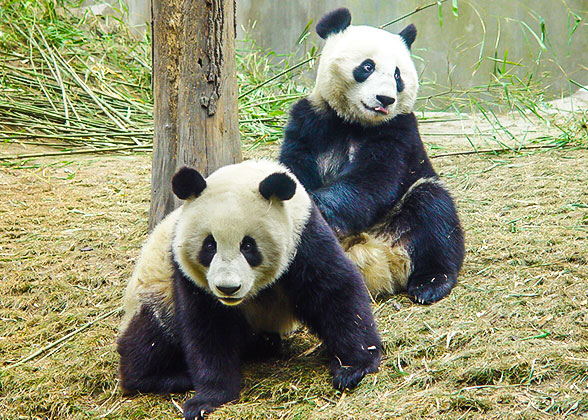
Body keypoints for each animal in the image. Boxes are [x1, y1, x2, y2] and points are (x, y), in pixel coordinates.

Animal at [116, 159, 382, 418]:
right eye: (209, 245)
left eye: (248, 245)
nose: (228, 288)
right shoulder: (187, 274)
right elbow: (207, 329)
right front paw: (208, 398)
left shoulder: (304, 236)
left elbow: (335, 294)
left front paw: (353, 367)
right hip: (155, 293)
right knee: (150, 339)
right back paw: (168, 377)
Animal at [278, 8, 466, 304]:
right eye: (367, 67)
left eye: (398, 76)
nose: (385, 99)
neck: (352, 122)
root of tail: (379, 264)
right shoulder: (309, 121)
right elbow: (294, 167)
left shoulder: (398, 131)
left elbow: (374, 178)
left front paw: (319, 206)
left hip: (407, 212)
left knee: (434, 211)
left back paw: (431, 283)